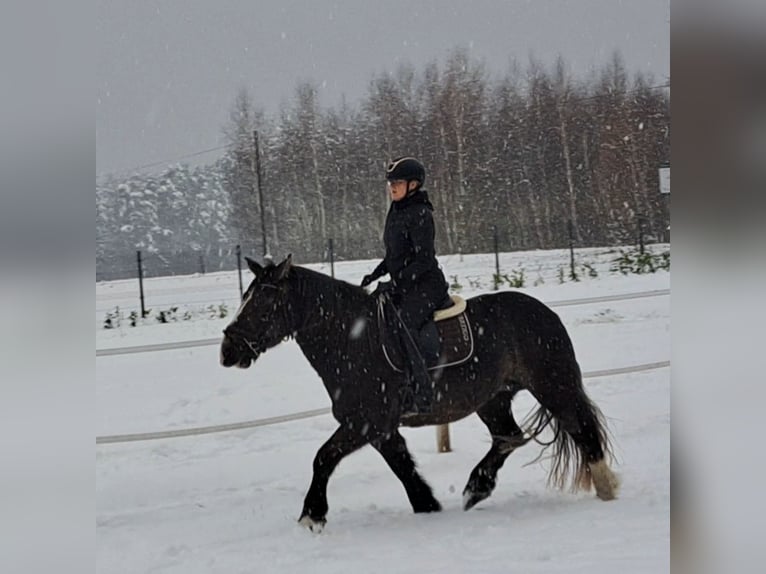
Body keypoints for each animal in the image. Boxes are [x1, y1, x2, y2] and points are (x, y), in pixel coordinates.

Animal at [220, 255, 619, 532]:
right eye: (245, 298)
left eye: (262, 305)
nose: (227, 351)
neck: (352, 338)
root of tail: (545, 312)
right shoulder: (379, 429)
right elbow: (402, 466)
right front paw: (427, 505)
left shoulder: (365, 423)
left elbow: (323, 458)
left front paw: (312, 516)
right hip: (493, 399)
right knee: (508, 436)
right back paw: (476, 487)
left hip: (554, 386)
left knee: (581, 430)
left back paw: (606, 487)